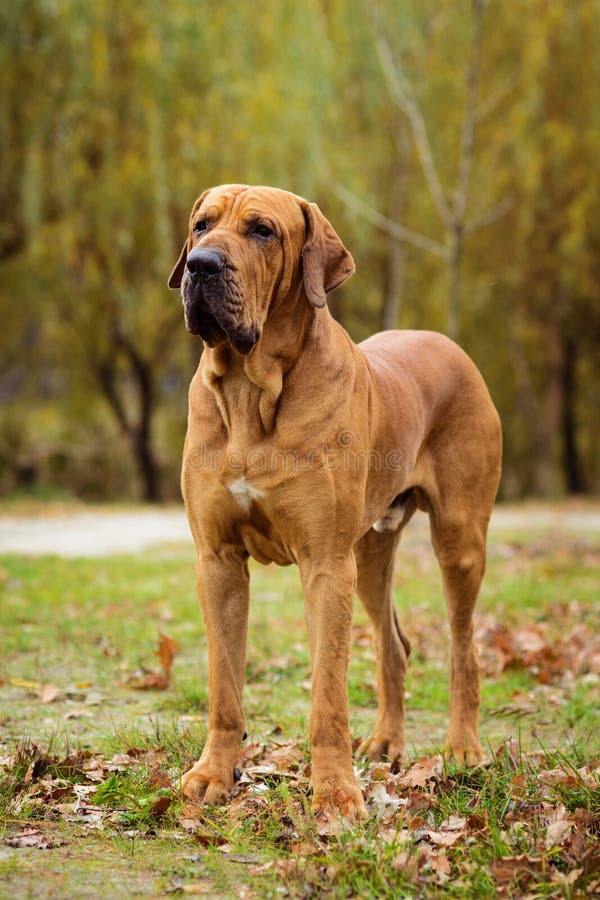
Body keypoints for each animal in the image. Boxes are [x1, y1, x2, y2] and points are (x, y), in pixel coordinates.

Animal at [168, 186, 502, 828]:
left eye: (262, 231)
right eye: (200, 225)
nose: (201, 266)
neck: (251, 391)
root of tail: (449, 344)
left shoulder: (325, 563)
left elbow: (327, 695)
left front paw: (336, 796)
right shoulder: (216, 561)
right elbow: (224, 687)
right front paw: (212, 776)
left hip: (458, 540)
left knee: (463, 648)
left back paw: (464, 748)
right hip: (369, 554)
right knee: (395, 646)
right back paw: (387, 742)